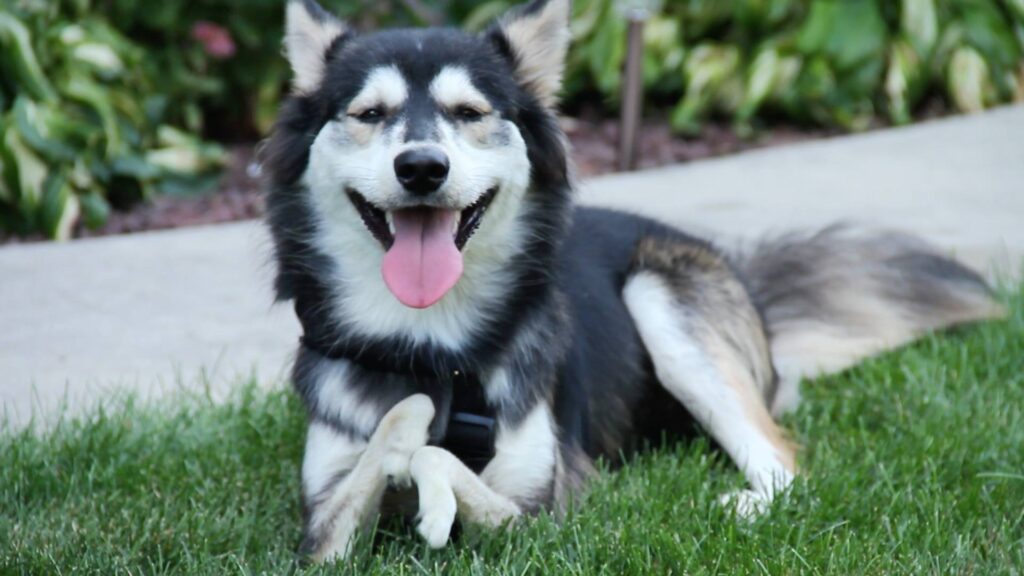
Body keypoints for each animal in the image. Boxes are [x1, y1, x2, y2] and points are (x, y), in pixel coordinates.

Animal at [260, 0, 1003, 557]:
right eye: (369, 114)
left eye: (469, 114)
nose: (421, 167)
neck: (430, 342)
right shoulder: (319, 527)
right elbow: (383, 447)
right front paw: (407, 433)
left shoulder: (547, 512)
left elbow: (437, 458)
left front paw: (429, 478)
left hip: (663, 297)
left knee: (785, 464)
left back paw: (740, 503)